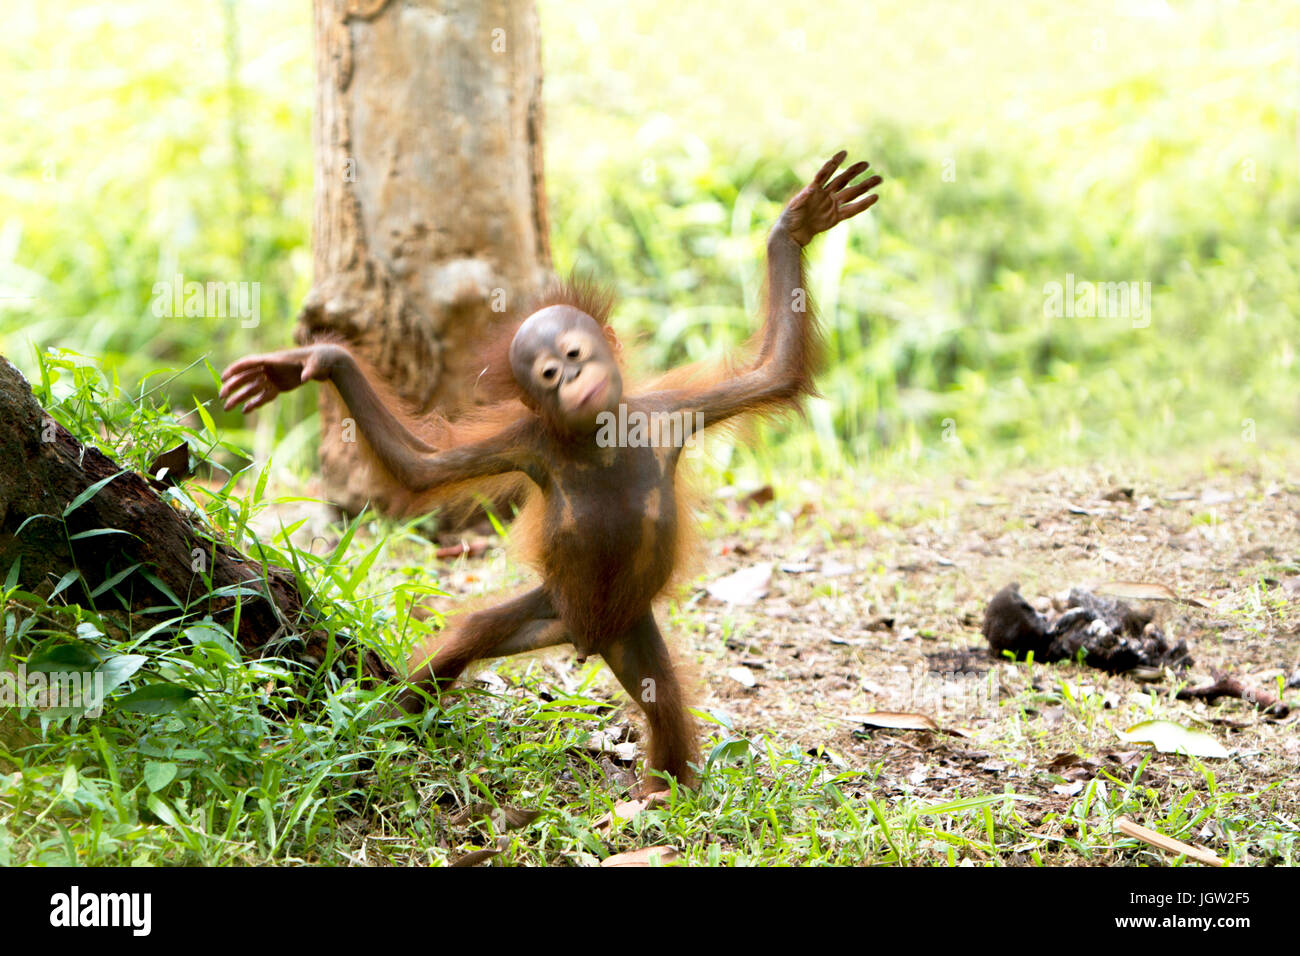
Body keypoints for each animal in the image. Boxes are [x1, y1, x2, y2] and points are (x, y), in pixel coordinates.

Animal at [219, 151, 882, 794]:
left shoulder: (669, 414)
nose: (572, 379)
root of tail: (585, 639)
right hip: (550, 607)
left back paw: (663, 791)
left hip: (631, 630)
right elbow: (422, 469)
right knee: (465, 640)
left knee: (663, 699)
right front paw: (321, 360)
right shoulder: (528, 442)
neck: (598, 438)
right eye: (546, 374)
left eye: (573, 353)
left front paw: (796, 224)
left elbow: (777, 372)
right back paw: (385, 734)